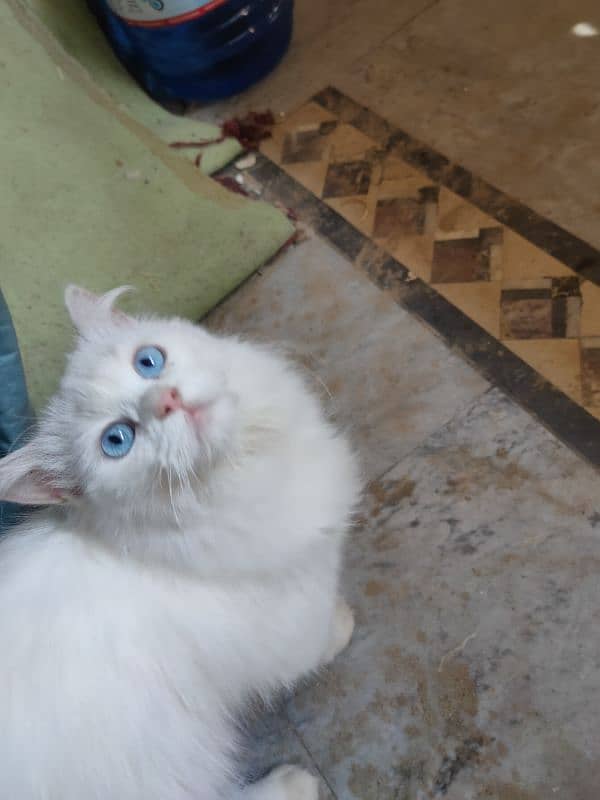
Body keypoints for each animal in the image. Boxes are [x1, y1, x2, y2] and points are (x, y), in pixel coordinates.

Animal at [0, 286, 360, 800]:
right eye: (117, 440)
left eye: (148, 362)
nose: (165, 399)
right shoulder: (289, 623)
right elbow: (316, 642)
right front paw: (343, 624)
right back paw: (293, 784)